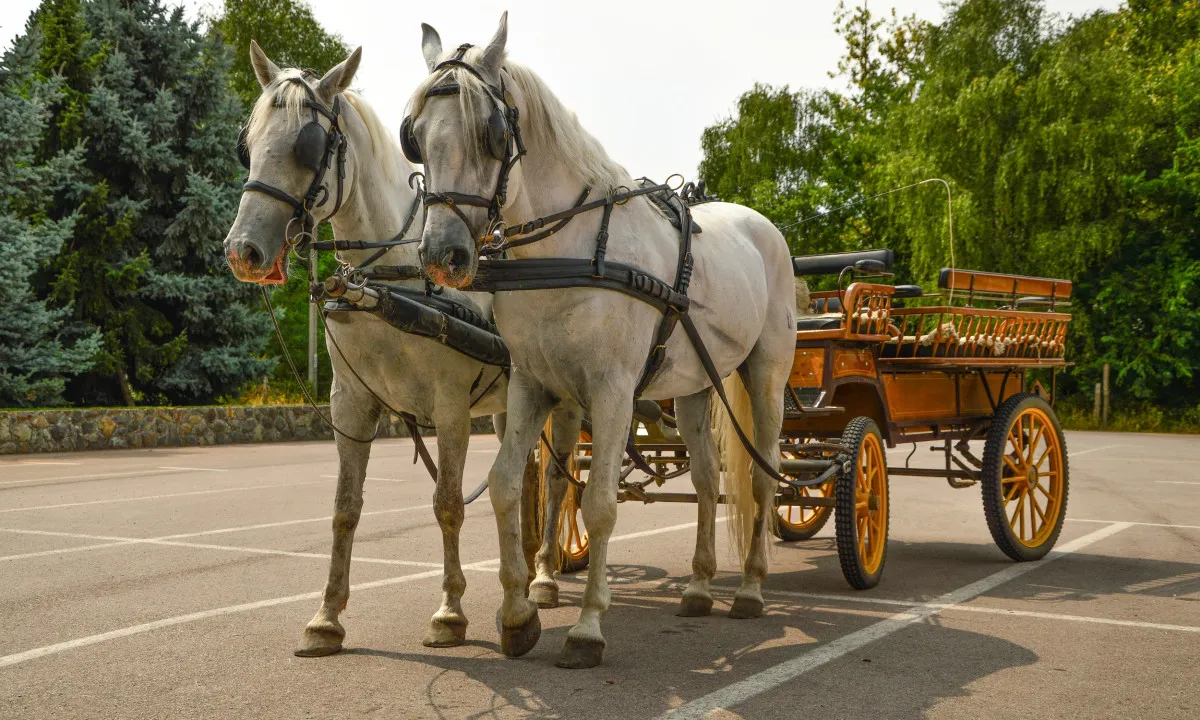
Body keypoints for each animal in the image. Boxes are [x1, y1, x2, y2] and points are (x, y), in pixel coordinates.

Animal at [223, 42, 508, 657]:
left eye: (308, 145)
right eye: (247, 143)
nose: (243, 251)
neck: (389, 282)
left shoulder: (451, 408)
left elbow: (448, 503)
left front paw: (450, 611)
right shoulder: (350, 404)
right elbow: (344, 510)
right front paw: (326, 617)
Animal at [410, 15, 796, 667]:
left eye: (490, 133)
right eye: (413, 135)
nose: (444, 255)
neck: (570, 251)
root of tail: (762, 226)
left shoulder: (613, 392)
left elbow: (598, 504)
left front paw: (587, 626)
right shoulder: (533, 384)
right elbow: (509, 487)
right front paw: (518, 615)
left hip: (765, 374)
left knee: (763, 474)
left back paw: (749, 588)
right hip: (694, 387)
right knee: (707, 479)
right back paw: (698, 587)